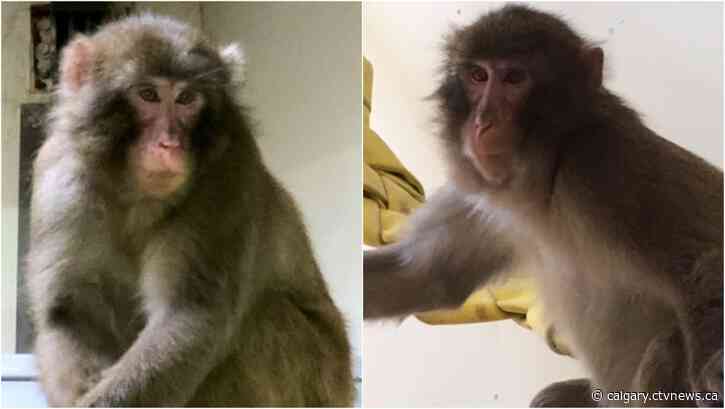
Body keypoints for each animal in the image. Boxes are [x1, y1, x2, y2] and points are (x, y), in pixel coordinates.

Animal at [26, 15, 354, 407]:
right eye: (148, 94)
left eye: (186, 99)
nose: (170, 143)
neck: (136, 193)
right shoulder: (59, 180)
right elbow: (68, 311)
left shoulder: (227, 175)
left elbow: (192, 317)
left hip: (322, 375)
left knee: (269, 317)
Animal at [363, 5, 723, 407]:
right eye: (478, 76)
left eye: (514, 78)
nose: (482, 122)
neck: (545, 186)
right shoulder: (485, 204)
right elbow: (421, 276)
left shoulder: (604, 167)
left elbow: (705, 257)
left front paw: (712, 372)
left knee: (669, 345)